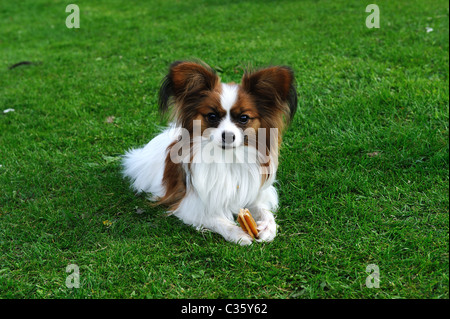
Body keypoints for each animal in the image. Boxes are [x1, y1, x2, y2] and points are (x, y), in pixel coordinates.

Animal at [123, 60, 298, 245]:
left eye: (243, 118)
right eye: (212, 116)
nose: (228, 136)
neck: (228, 158)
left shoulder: (253, 193)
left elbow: (264, 210)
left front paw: (268, 227)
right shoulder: (190, 205)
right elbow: (216, 220)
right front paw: (237, 233)